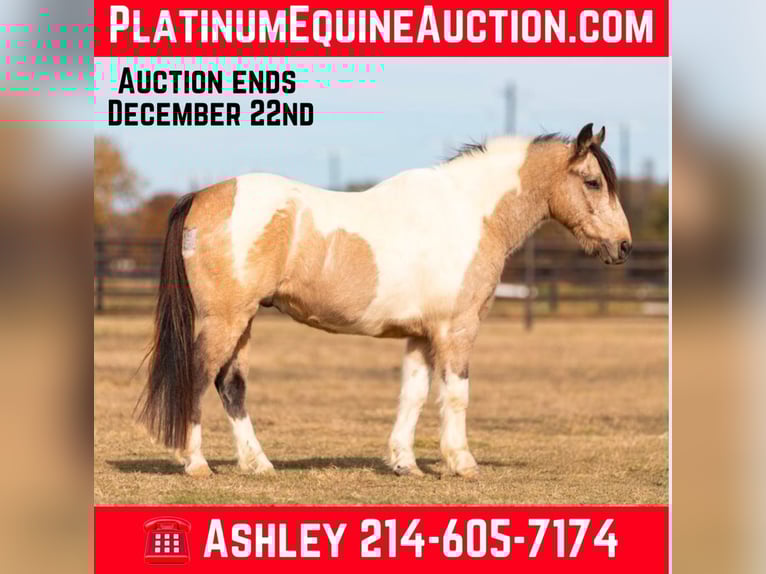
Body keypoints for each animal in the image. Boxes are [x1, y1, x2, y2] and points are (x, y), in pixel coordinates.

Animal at [136, 122, 632, 478]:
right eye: (592, 182)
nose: (623, 246)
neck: (468, 213)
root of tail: (200, 196)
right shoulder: (457, 330)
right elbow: (456, 394)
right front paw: (462, 463)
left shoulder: (420, 335)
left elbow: (412, 395)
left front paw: (403, 463)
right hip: (226, 319)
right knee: (198, 378)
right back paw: (196, 463)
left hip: (243, 322)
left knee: (231, 386)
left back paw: (258, 464)